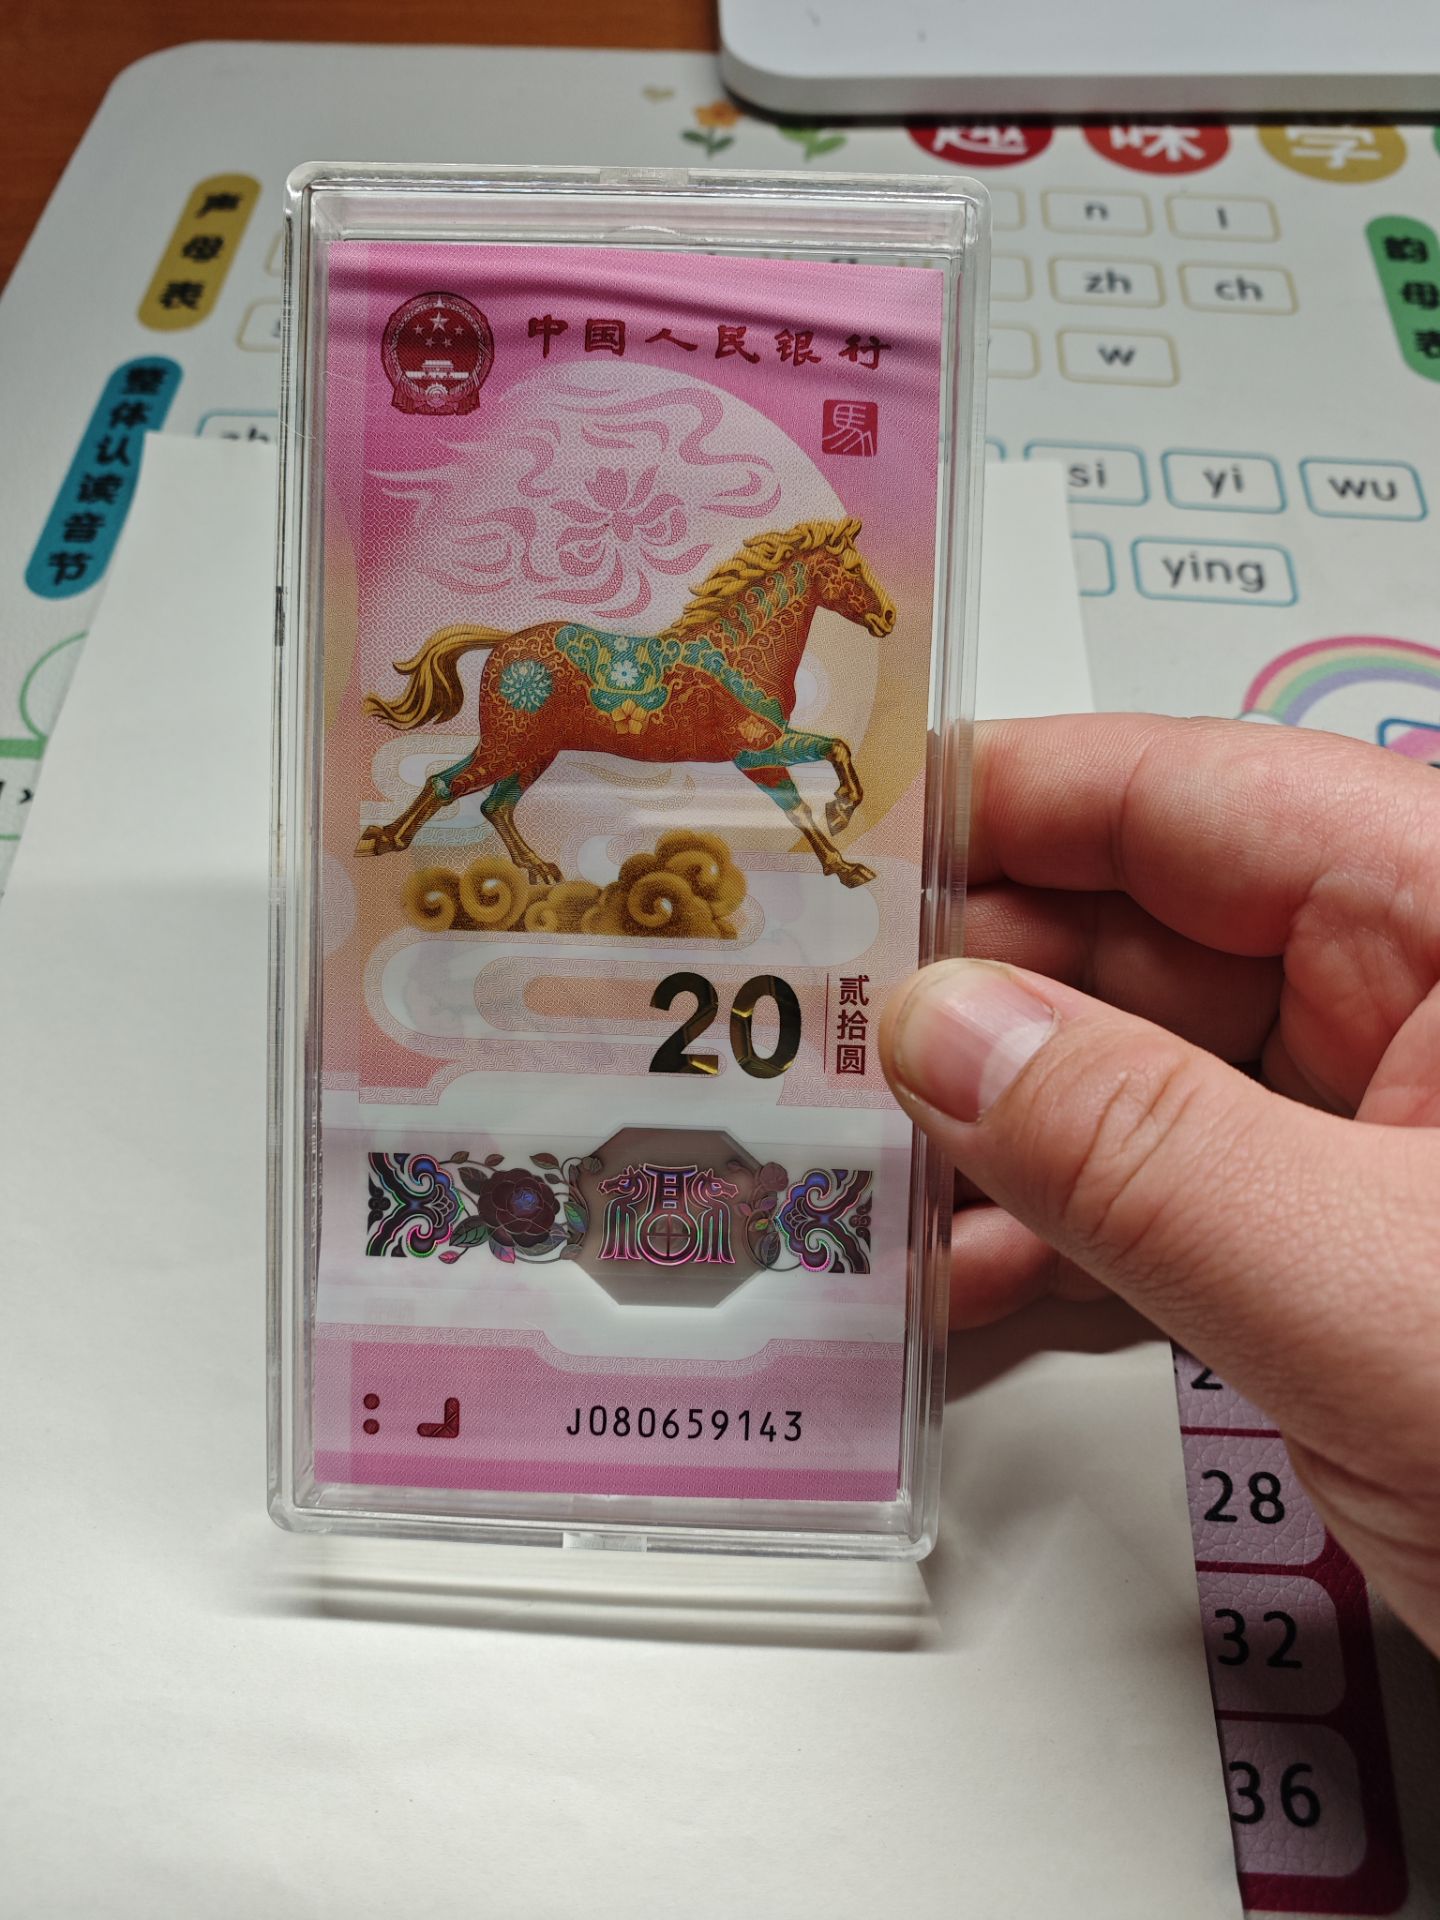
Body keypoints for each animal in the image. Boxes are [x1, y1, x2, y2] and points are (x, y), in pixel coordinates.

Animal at [355, 515, 897, 889]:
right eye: (850, 568)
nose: (889, 616)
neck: (742, 654)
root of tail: (504, 642)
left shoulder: (764, 751)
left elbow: (817, 778)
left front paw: (844, 850)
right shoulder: (755, 753)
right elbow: (816, 779)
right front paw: (841, 823)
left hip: (527, 748)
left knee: (493, 803)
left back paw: (537, 868)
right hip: (510, 745)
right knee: (446, 784)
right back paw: (383, 840)